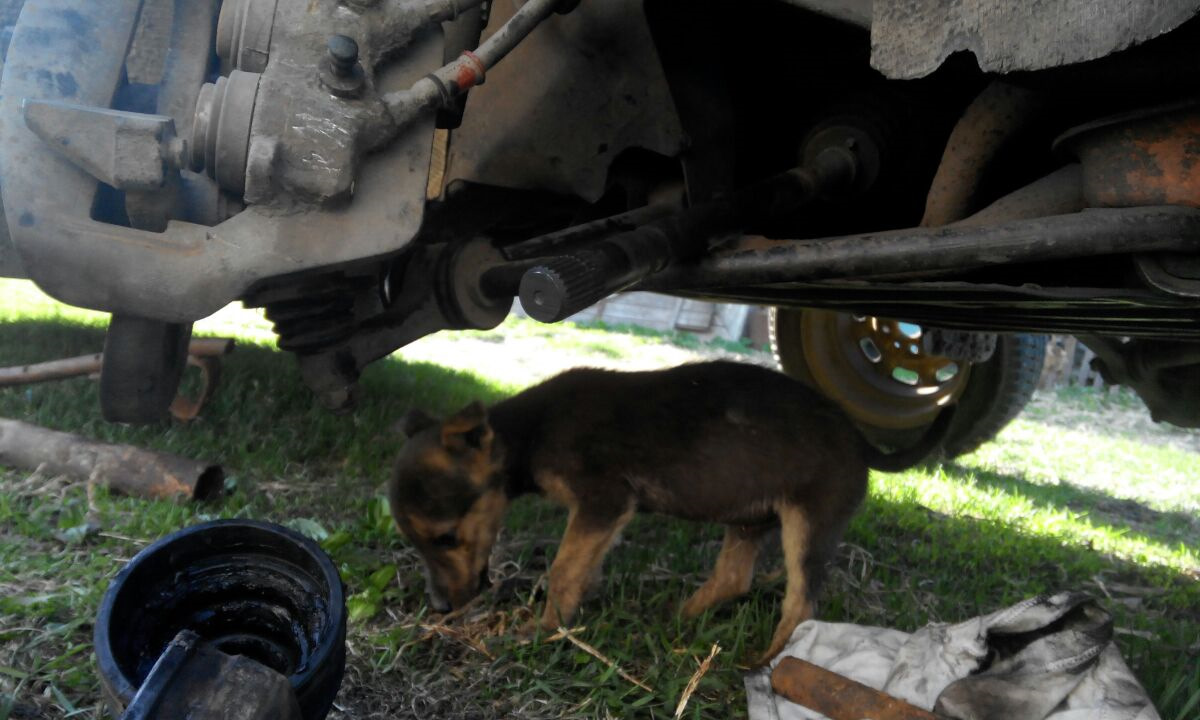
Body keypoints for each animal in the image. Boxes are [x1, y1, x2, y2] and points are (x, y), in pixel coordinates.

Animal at [388, 362, 950, 662]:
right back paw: (673, 618)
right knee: (734, 579)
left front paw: (542, 630)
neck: (525, 436)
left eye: (446, 538)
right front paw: (568, 614)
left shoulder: (604, 501)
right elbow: (580, 568)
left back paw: (766, 662)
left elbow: (564, 569)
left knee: (802, 605)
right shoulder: (600, 516)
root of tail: (859, 439)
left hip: (810, 521)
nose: (439, 609)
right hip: (749, 518)